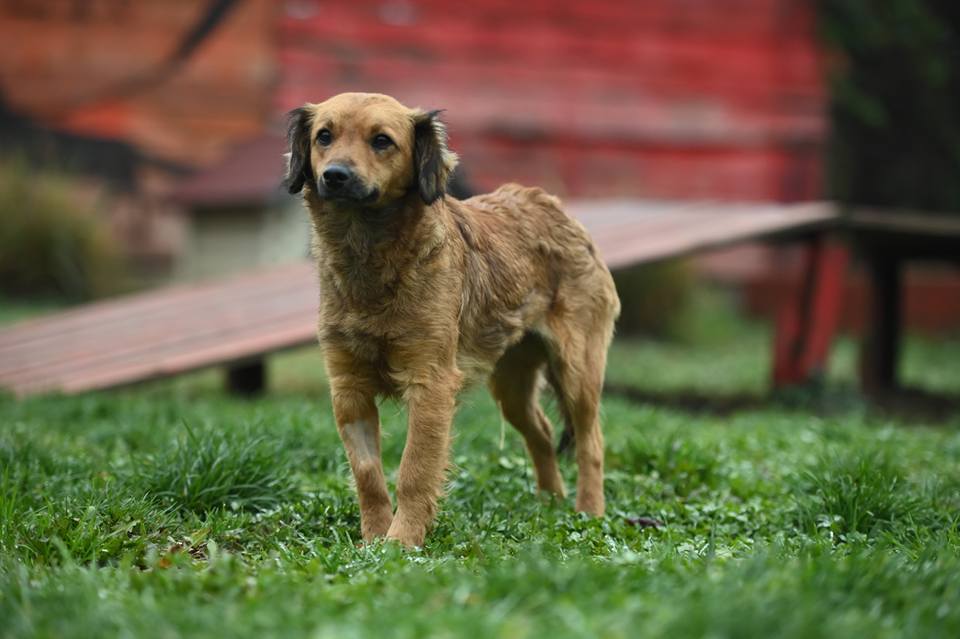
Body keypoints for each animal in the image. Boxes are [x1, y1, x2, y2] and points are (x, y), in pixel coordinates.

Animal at [284, 93, 620, 547]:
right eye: (324, 136)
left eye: (381, 140)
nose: (335, 176)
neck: (370, 257)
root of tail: (553, 206)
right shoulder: (348, 389)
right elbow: (368, 474)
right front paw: (372, 540)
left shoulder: (431, 385)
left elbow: (414, 470)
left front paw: (401, 543)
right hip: (512, 384)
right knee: (543, 432)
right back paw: (550, 503)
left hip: (577, 371)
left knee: (591, 442)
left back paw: (589, 513)